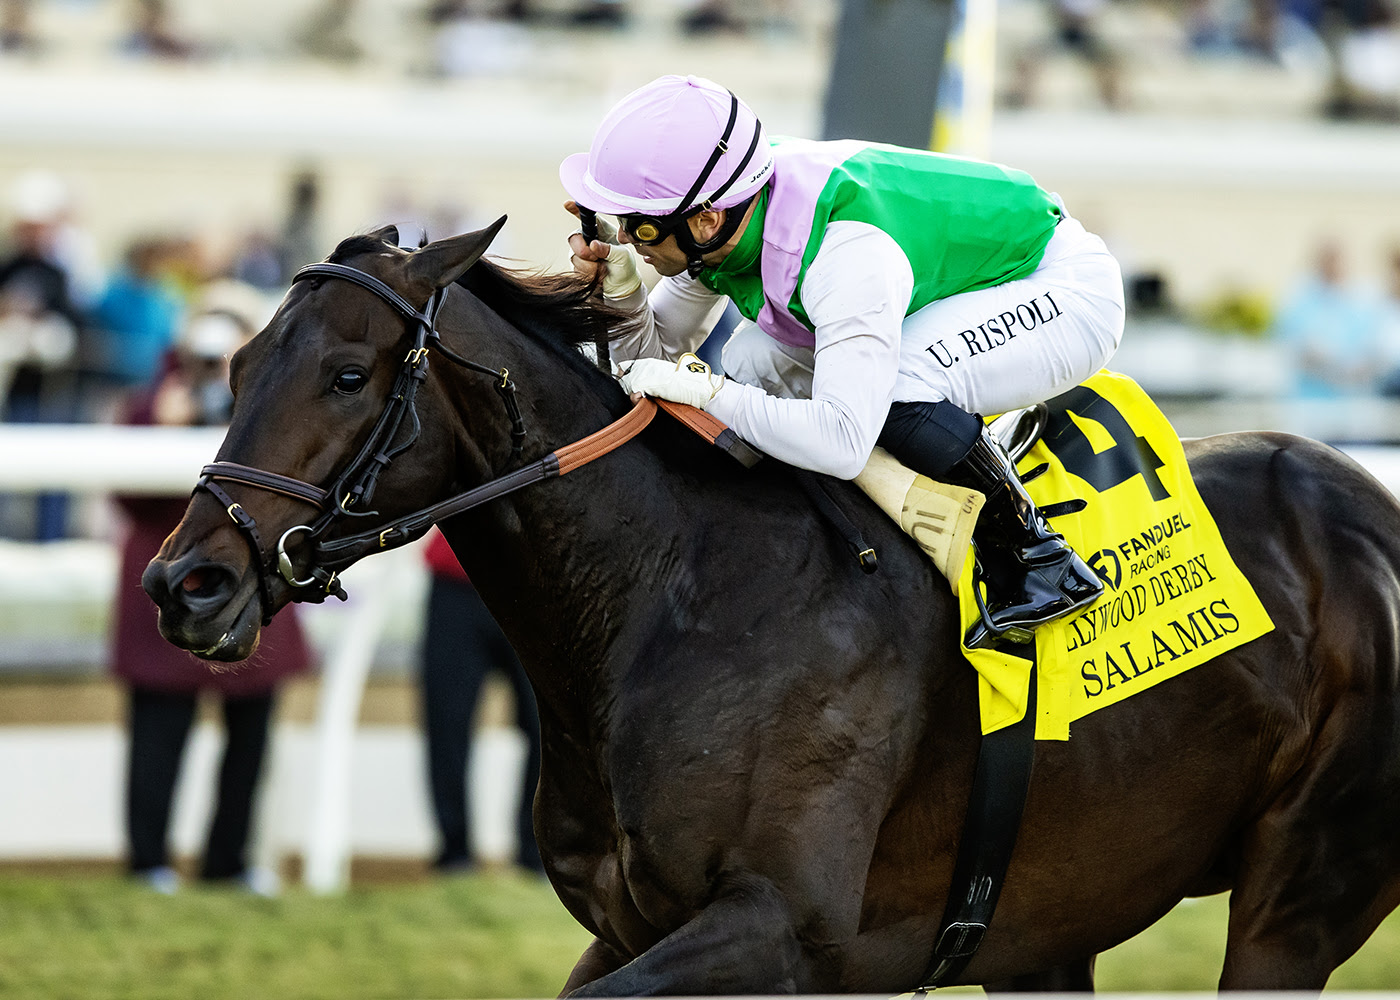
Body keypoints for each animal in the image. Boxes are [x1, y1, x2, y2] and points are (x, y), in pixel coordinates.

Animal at [142, 221, 1400, 995]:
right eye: (236, 366)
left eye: (348, 375)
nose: (183, 582)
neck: (672, 597)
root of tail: (1363, 508)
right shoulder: (631, 927)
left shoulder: (785, 929)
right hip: (1055, 913)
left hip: (1298, 890)